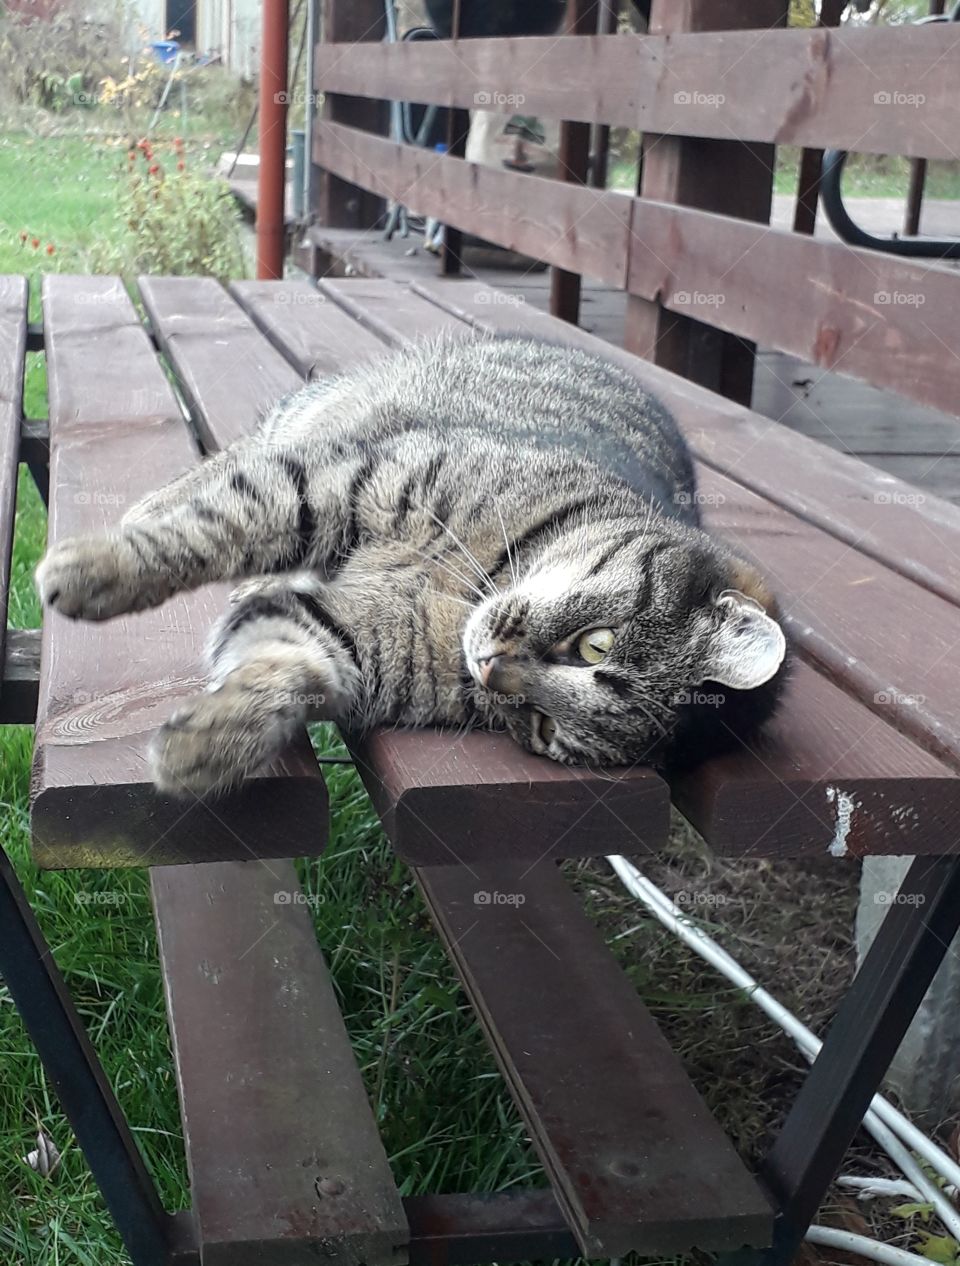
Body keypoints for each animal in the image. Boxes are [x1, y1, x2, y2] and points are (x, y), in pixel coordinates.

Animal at [37, 331, 790, 795]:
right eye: (595, 645)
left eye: (549, 732)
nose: (490, 668)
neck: (473, 589)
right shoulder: (343, 484)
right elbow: (212, 528)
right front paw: (95, 570)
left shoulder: (346, 640)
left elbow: (283, 670)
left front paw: (205, 748)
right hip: (323, 423)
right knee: (236, 464)